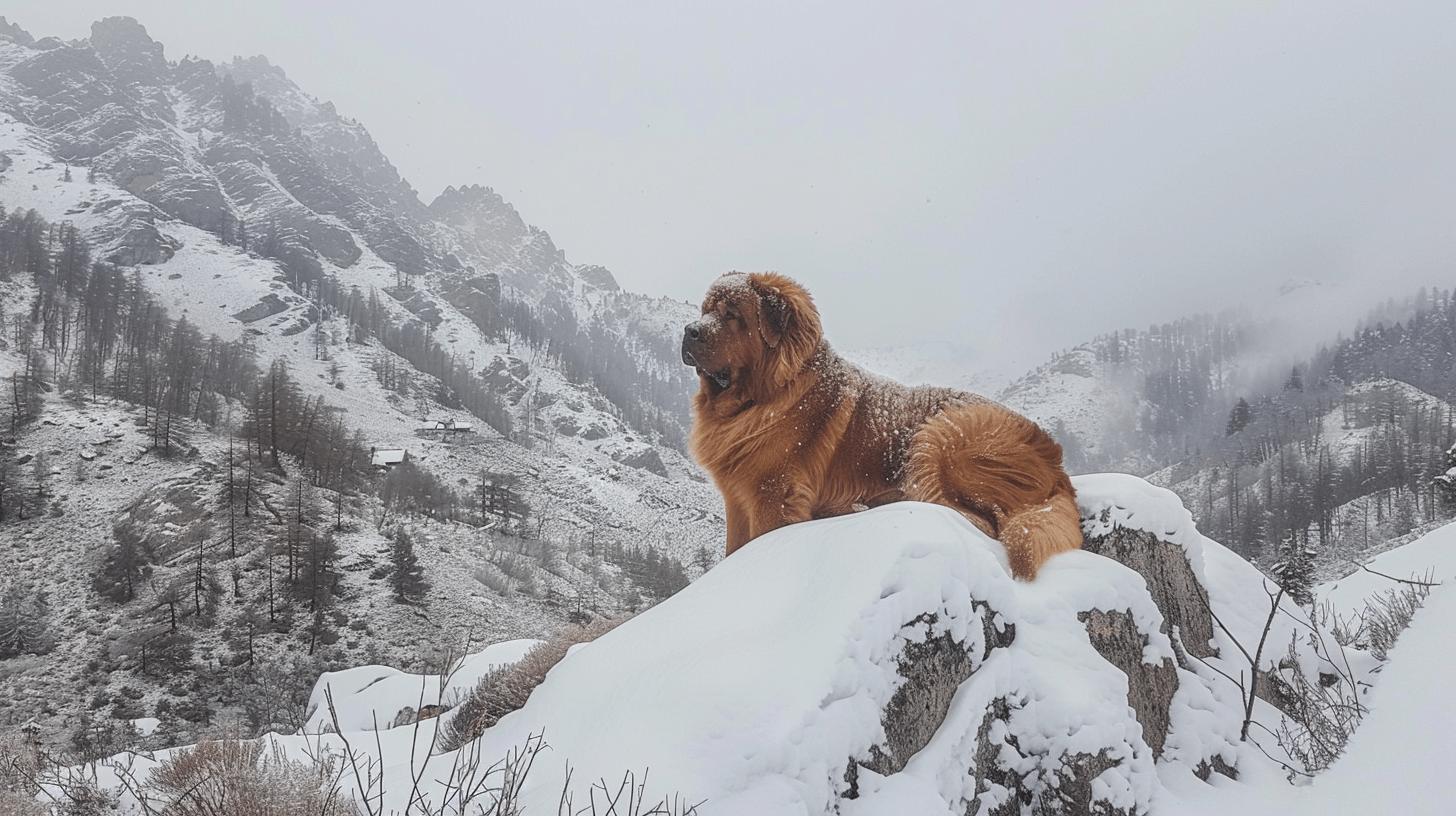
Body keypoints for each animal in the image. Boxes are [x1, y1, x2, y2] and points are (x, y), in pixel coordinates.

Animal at [681, 271, 1083, 577]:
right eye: (706, 310)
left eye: (732, 314)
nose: (689, 330)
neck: (762, 397)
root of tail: (1055, 460)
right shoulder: (737, 499)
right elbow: (733, 548)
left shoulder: (773, 493)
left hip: (942, 436)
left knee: (980, 520)